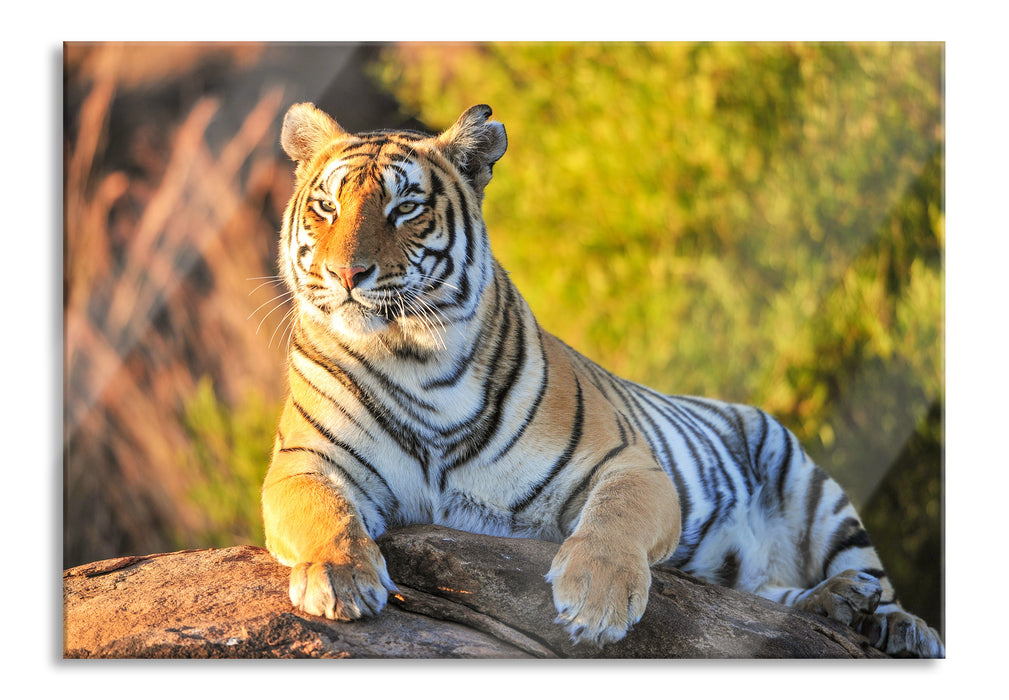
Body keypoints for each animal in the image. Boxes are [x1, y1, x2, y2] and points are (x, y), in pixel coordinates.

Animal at [261, 101, 944, 658]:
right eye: (326, 207)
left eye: (405, 208)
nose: (346, 273)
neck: (414, 360)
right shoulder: (303, 464)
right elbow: (323, 511)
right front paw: (341, 578)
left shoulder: (626, 463)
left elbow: (616, 518)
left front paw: (596, 598)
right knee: (768, 599)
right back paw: (836, 604)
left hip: (812, 487)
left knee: (869, 576)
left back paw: (894, 622)